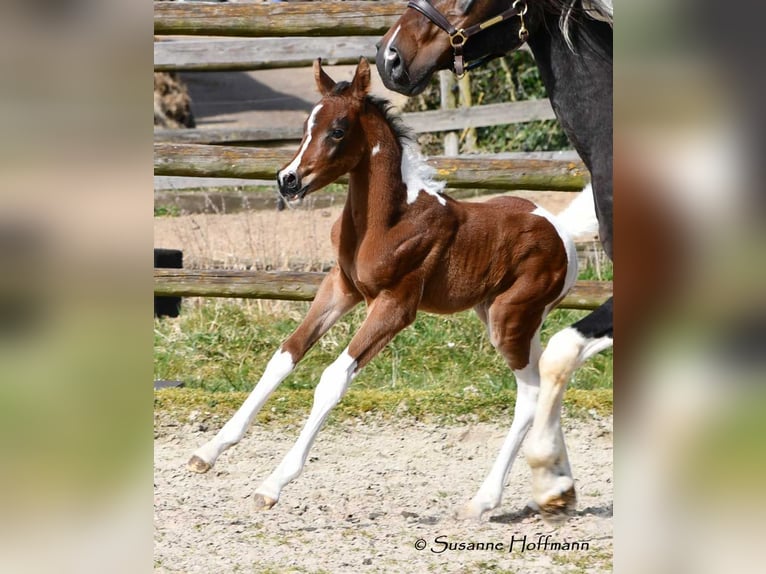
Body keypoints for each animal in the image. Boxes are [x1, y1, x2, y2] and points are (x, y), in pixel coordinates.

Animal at [187, 58, 599, 521]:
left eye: (339, 130)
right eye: (307, 125)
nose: (287, 180)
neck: (389, 221)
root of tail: (561, 228)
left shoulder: (395, 306)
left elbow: (332, 378)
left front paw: (272, 484)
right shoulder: (340, 287)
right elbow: (285, 355)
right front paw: (208, 451)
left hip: (509, 319)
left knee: (530, 392)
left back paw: (485, 499)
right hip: (509, 318)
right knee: (549, 373)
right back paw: (556, 489)